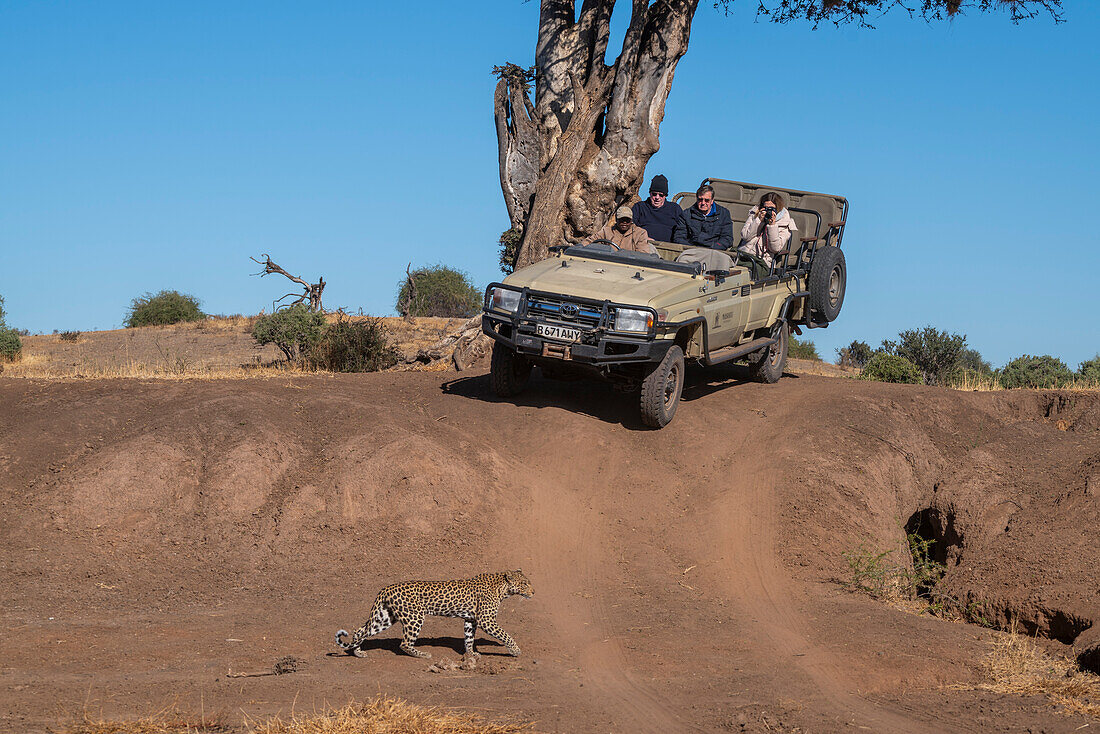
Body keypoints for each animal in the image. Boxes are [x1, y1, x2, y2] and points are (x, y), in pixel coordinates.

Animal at [334, 567, 532, 660]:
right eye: (525, 584)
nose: (534, 592)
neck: (502, 589)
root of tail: (385, 588)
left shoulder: (471, 619)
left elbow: (469, 638)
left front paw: (470, 654)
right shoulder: (486, 620)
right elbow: (505, 634)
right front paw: (515, 650)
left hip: (385, 617)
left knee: (360, 630)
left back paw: (358, 652)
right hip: (414, 617)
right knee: (404, 643)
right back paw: (422, 654)